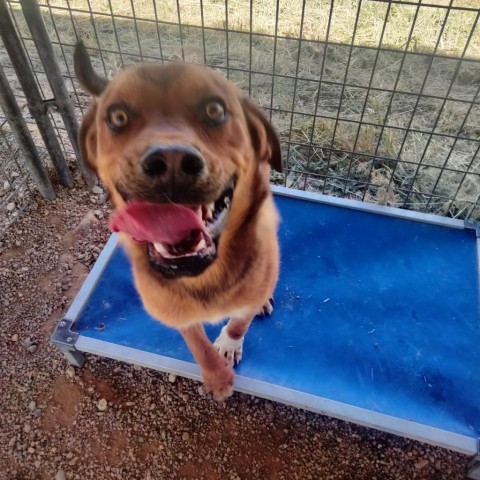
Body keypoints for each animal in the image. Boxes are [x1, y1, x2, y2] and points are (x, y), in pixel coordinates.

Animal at [74, 42, 282, 402]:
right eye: (117, 116)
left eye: (215, 110)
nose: (170, 162)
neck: (205, 276)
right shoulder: (173, 309)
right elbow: (196, 343)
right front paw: (216, 374)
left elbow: (240, 320)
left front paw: (230, 343)